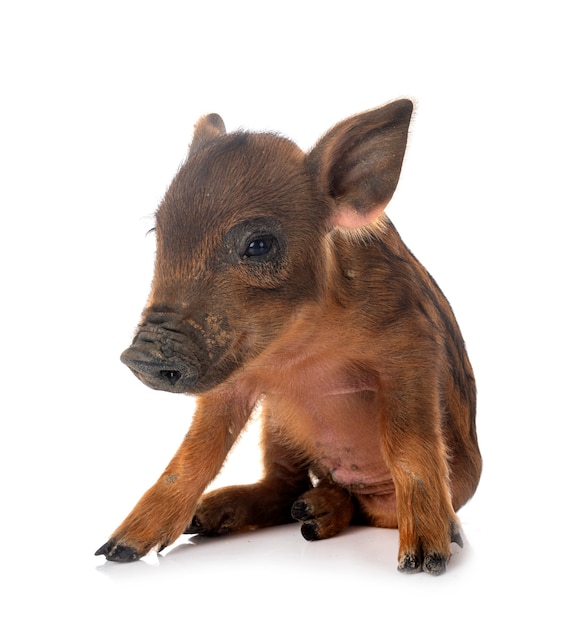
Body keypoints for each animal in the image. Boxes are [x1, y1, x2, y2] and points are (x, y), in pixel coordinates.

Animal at [97, 100, 482, 572]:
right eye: (158, 234)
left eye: (260, 245)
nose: (142, 356)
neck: (299, 352)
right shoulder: (234, 378)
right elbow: (193, 455)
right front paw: (116, 550)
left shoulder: (413, 347)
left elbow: (410, 446)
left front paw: (426, 561)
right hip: (277, 422)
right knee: (285, 487)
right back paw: (227, 517)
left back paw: (316, 518)